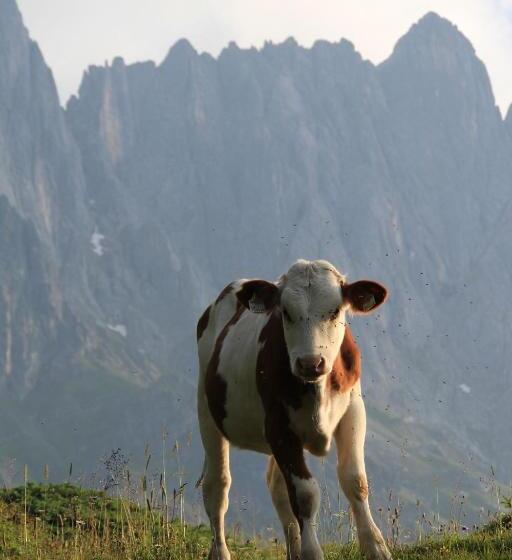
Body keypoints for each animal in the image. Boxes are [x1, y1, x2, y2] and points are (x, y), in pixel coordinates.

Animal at [196, 260, 392, 560]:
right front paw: (312, 552)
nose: (311, 363)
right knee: (217, 485)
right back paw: (220, 552)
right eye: (285, 312)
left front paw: (376, 547)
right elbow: (304, 494)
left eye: (335, 310)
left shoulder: (353, 411)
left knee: (277, 489)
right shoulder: (279, 426)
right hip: (207, 411)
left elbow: (355, 481)